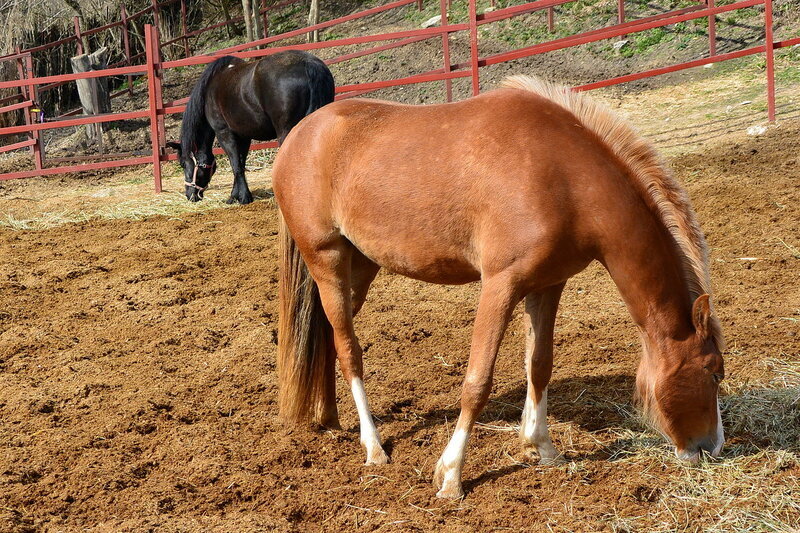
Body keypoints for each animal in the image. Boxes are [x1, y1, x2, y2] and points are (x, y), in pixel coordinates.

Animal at [169, 50, 334, 205]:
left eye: (183, 164)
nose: (190, 195)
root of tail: (309, 64)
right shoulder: (244, 136)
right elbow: (241, 163)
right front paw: (235, 196)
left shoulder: (224, 133)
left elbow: (235, 164)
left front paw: (242, 197)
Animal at [270, 75, 724, 498]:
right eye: (714, 371)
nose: (712, 447)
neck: (565, 177)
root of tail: (298, 137)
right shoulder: (500, 284)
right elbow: (477, 382)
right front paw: (451, 475)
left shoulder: (548, 284)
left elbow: (539, 364)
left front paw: (541, 447)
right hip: (326, 259)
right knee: (349, 349)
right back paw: (373, 447)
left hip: (361, 267)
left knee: (329, 337)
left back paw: (329, 419)